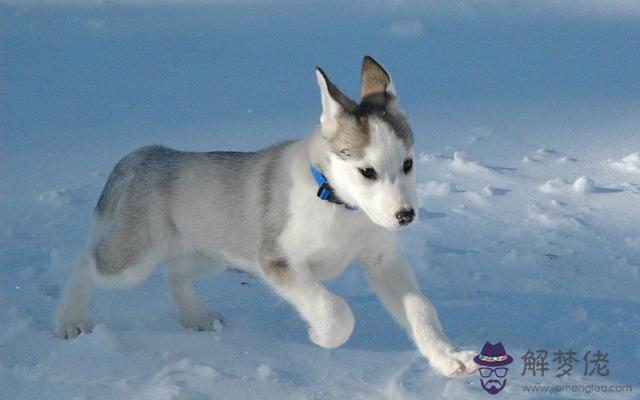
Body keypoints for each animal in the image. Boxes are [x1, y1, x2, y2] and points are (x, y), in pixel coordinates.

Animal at [53, 55, 476, 376]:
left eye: (407, 164)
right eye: (367, 172)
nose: (405, 216)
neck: (337, 204)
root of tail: (151, 153)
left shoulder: (381, 259)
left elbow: (420, 309)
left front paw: (448, 357)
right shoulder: (277, 261)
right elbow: (335, 310)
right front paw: (321, 337)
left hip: (211, 252)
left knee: (174, 272)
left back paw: (197, 317)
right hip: (133, 260)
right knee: (85, 262)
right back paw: (69, 322)